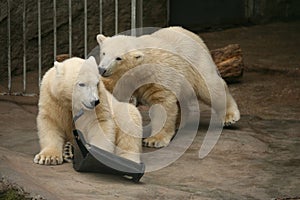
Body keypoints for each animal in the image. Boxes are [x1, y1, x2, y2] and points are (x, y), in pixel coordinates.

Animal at [96, 26, 241, 148]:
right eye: (103, 53)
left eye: (118, 58)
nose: (102, 69)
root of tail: (195, 36)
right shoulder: (123, 80)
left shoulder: (158, 75)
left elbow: (162, 104)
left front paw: (154, 140)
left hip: (196, 63)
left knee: (210, 88)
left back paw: (229, 116)